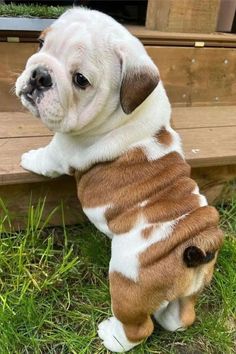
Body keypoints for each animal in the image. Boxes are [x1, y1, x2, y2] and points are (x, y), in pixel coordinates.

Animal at [16, 6, 223, 352]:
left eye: (80, 80)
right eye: (41, 43)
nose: (39, 75)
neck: (128, 109)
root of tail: (197, 242)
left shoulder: (62, 149)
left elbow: (45, 157)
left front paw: (27, 157)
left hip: (128, 284)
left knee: (139, 327)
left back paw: (112, 336)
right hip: (190, 292)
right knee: (181, 316)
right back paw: (170, 317)